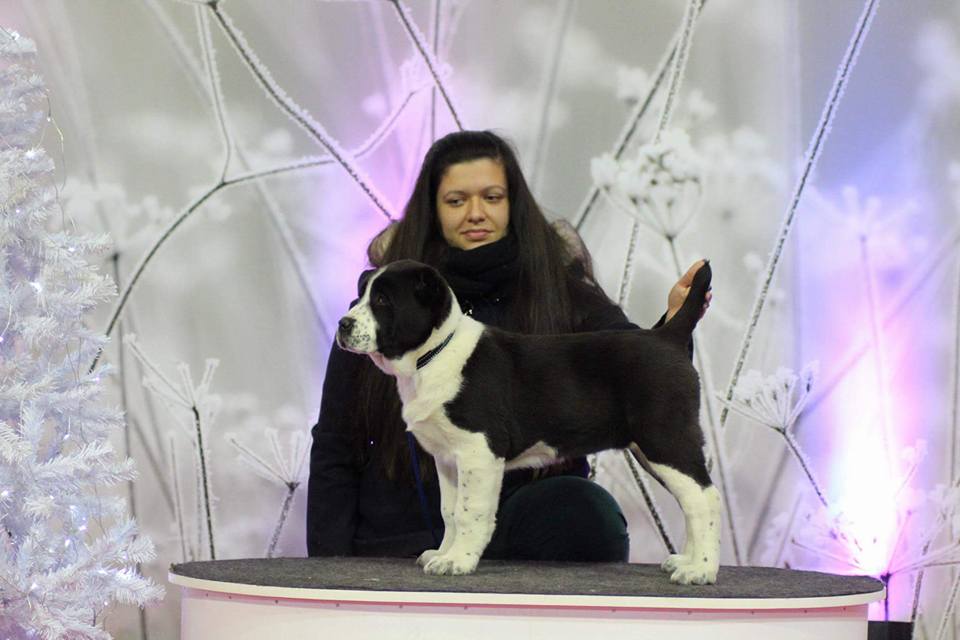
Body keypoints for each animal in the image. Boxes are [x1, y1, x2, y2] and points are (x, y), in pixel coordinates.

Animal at [336, 259, 720, 585]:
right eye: (360, 295)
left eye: (382, 300)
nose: (343, 324)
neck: (432, 355)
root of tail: (668, 336)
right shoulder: (447, 458)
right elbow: (449, 512)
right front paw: (443, 553)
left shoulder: (479, 451)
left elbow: (469, 512)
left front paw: (458, 561)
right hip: (654, 447)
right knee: (693, 501)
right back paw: (687, 561)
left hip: (665, 439)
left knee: (705, 498)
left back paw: (700, 570)